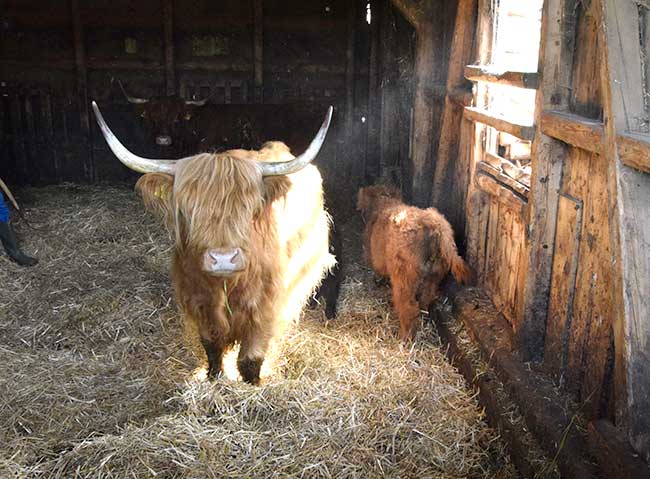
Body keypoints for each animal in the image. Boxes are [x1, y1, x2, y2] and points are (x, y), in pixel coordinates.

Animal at [354, 185, 470, 342]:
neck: (383, 202)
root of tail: (434, 225)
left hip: (404, 280)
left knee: (408, 309)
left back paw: (404, 337)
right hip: (435, 276)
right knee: (426, 298)